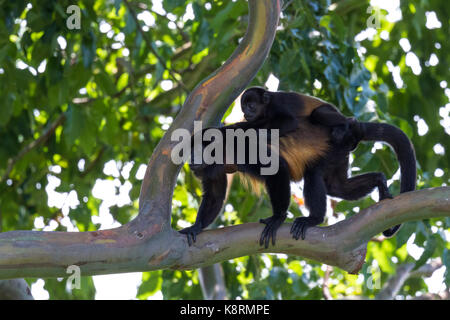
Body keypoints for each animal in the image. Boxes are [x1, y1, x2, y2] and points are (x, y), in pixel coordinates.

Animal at [180, 87, 418, 248]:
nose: (190, 160)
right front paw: (196, 226)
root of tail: (351, 132)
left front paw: (277, 218)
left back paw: (313, 219)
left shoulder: (242, 146)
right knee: (337, 187)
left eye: (197, 148)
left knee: (313, 175)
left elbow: (277, 168)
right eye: (188, 149)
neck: (221, 150)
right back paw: (379, 180)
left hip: (334, 145)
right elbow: (215, 195)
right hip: (339, 153)